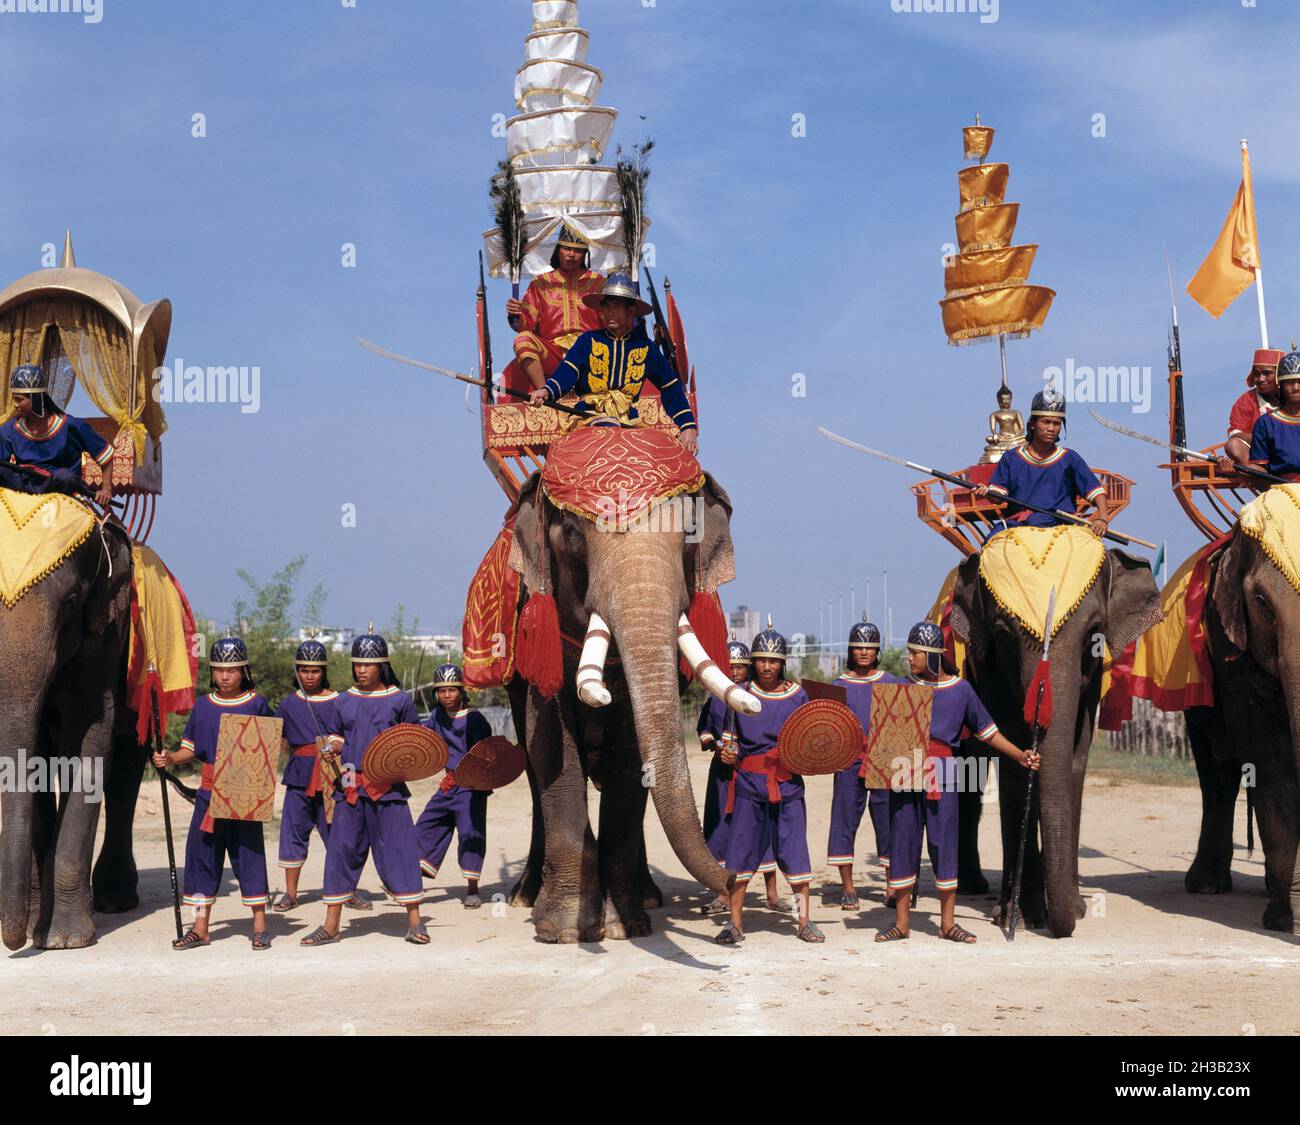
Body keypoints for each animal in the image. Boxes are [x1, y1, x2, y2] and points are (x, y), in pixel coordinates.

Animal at [0, 517, 142, 946]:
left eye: (70, 602)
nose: (13, 942)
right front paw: (37, 928)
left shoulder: (108, 628)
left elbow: (92, 732)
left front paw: (63, 940)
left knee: (126, 768)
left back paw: (114, 901)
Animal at [499, 465, 738, 941]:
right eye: (572, 533)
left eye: (690, 531)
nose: (735, 881)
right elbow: (550, 745)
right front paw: (565, 930)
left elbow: (630, 755)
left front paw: (623, 926)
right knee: (534, 774)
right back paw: (524, 897)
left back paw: (645, 899)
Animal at [946, 548, 1159, 936]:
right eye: (1003, 634)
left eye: (1094, 632)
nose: (1064, 924)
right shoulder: (987, 664)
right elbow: (1011, 757)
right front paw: (1015, 916)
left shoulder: (1092, 681)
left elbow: (1075, 760)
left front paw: (1072, 910)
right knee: (967, 776)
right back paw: (973, 886)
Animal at [1180, 525, 1300, 931]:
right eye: (1262, 603)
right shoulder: (1225, 640)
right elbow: (1269, 757)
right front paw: (1283, 921)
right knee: (1218, 774)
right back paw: (1206, 885)